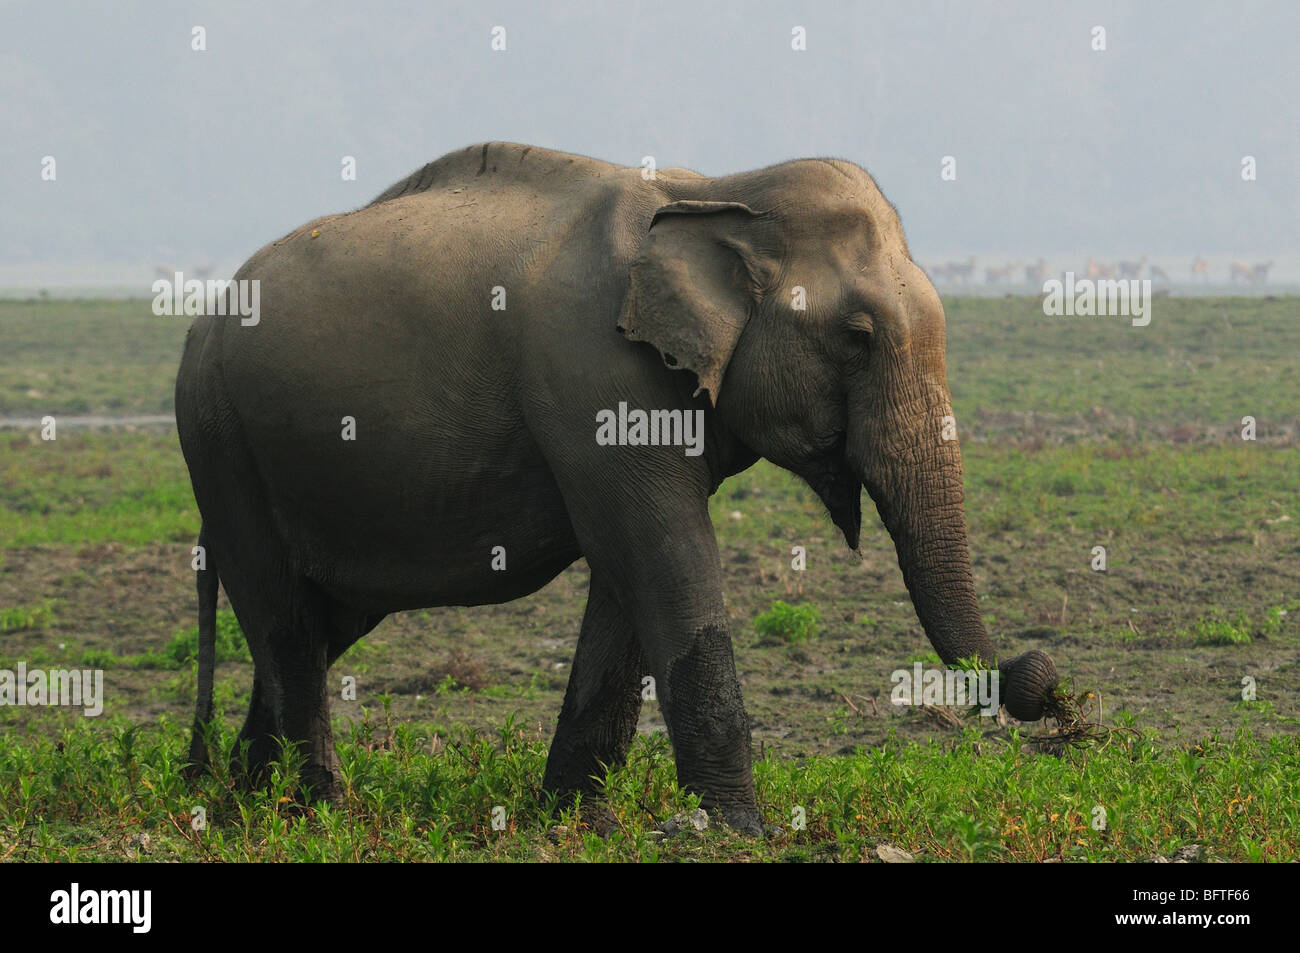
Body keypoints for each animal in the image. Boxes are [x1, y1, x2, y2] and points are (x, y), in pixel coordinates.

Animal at [178, 137, 1060, 826]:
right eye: (857, 336)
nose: (1044, 680)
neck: (716, 190)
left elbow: (627, 575)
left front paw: (578, 819)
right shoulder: (597, 379)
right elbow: (658, 553)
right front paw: (736, 829)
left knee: (318, 623)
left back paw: (246, 800)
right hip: (221, 442)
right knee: (287, 622)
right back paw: (318, 811)